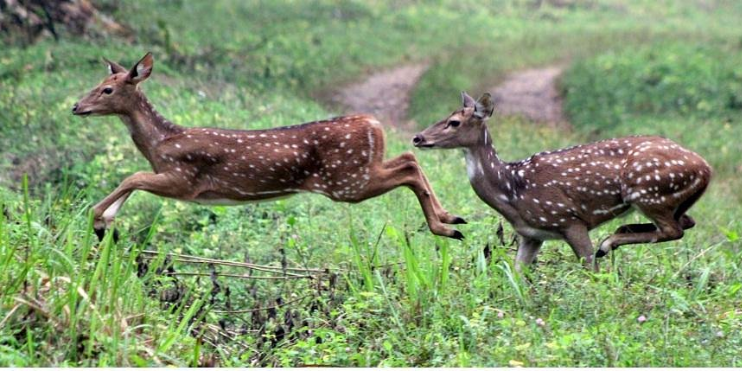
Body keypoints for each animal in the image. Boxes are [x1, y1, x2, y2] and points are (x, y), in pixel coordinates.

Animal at [70, 53, 464, 243]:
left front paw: (99, 219)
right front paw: (107, 224)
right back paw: (451, 219)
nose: (75, 107)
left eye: (107, 89)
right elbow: (131, 180)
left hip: (346, 181)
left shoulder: (185, 179)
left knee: (408, 167)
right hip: (358, 172)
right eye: (98, 82)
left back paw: (446, 226)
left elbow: (132, 177)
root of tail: (374, 125)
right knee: (410, 158)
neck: (160, 142)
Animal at [416, 91, 712, 272]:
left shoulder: (569, 219)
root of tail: (706, 168)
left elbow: (592, 269)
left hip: (646, 190)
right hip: (666, 198)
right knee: (685, 222)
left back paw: (609, 242)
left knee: (673, 229)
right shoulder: (532, 234)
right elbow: (516, 275)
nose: (418, 137)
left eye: (454, 122)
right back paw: (618, 235)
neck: (512, 191)